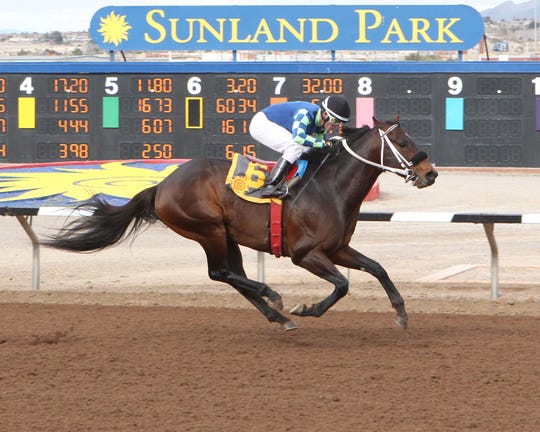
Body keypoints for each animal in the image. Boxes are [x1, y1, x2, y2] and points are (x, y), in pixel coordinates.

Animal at [44, 118, 436, 330]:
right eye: (403, 141)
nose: (430, 173)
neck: (329, 187)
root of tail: (162, 185)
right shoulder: (306, 254)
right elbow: (342, 285)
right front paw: (307, 308)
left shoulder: (337, 248)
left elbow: (378, 268)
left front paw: (401, 313)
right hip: (209, 230)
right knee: (220, 273)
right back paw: (273, 296)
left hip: (228, 235)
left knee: (231, 276)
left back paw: (276, 314)